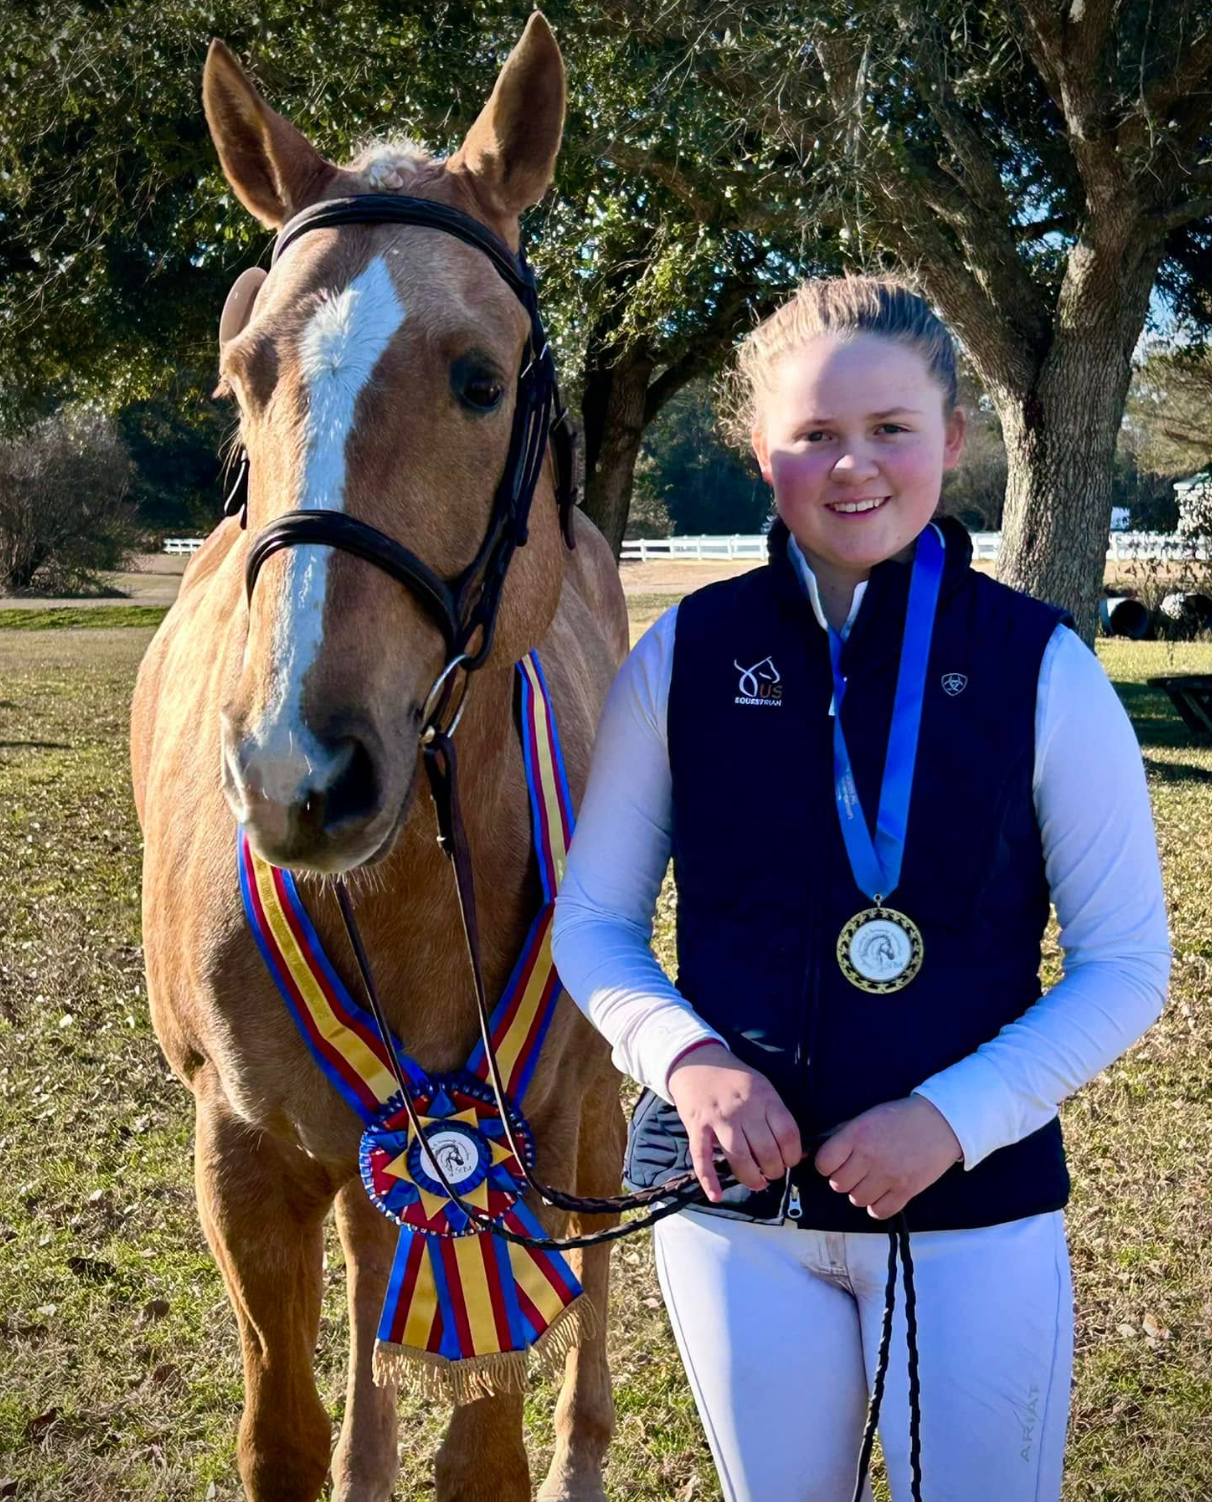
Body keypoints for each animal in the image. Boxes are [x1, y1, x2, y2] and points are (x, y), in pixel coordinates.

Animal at [129, 16, 629, 1501]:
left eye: (480, 379)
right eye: (242, 376)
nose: (300, 772)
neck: (408, 886)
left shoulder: (522, 1151)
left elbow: (490, 1451)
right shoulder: (243, 1159)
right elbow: (283, 1438)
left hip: (586, 1107)